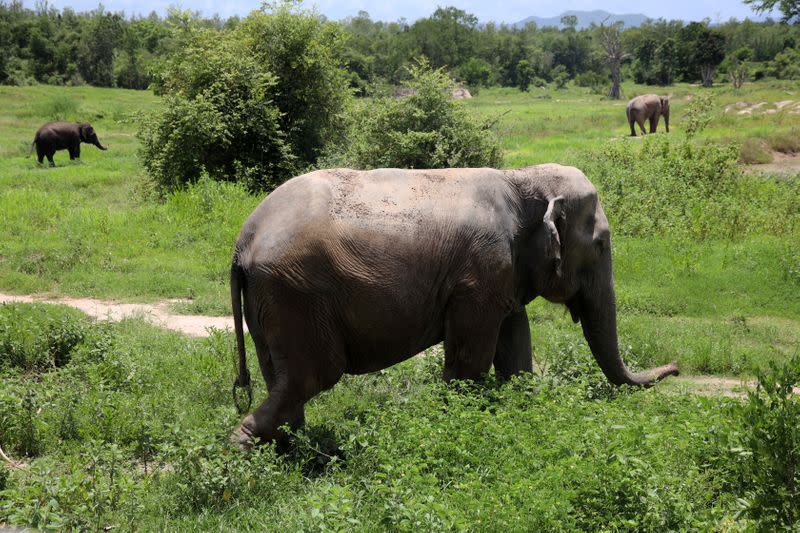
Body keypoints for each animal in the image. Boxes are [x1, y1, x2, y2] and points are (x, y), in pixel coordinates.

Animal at [228, 164, 680, 446]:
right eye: (600, 244)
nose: (676, 367)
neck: (523, 178)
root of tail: (242, 243)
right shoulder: (479, 275)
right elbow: (470, 363)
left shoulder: (504, 273)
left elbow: (515, 349)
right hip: (297, 295)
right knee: (313, 375)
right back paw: (241, 452)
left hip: (271, 302)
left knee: (283, 379)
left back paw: (288, 453)